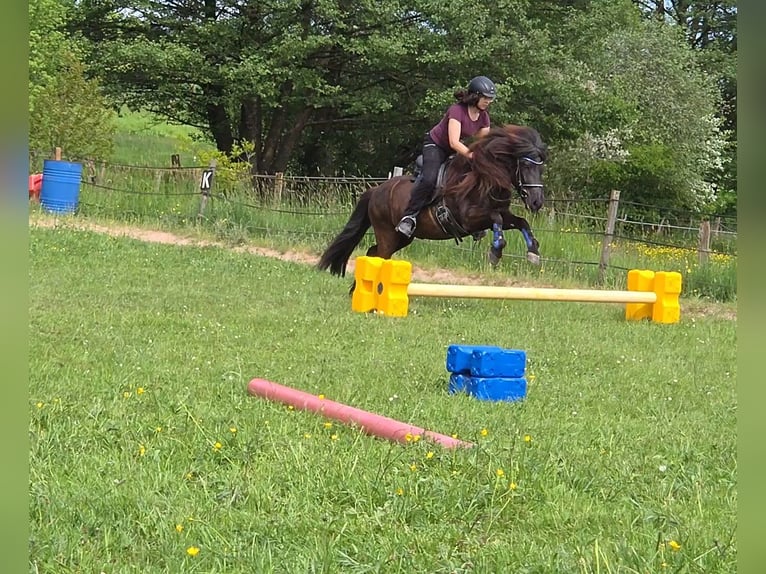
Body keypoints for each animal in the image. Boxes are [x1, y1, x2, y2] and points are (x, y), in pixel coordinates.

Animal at [317, 124, 547, 283]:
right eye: (526, 165)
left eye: (541, 168)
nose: (537, 202)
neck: (484, 178)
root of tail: (375, 191)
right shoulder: (470, 219)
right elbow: (496, 219)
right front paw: (496, 251)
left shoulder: (502, 214)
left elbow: (521, 222)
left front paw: (533, 253)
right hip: (387, 233)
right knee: (380, 255)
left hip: (401, 238)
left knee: (374, 253)